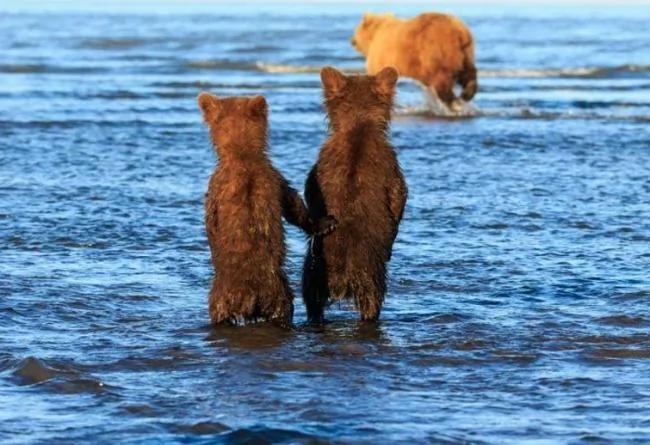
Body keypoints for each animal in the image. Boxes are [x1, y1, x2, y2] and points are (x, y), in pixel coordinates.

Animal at [198, 92, 336, 327]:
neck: (242, 155)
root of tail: (249, 296)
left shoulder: (223, 183)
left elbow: (293, 206)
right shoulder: (267, 179)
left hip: (241, 292)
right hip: (260, 295)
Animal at [302, 66, 408, 323]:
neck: (359, 123)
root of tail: (340, 278)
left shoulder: (321, 165)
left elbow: (310, 190)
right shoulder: (390, 165)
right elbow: (399, 196)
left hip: (313, 270)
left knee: (311, 300)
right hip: (369, 272)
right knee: (372, 300)